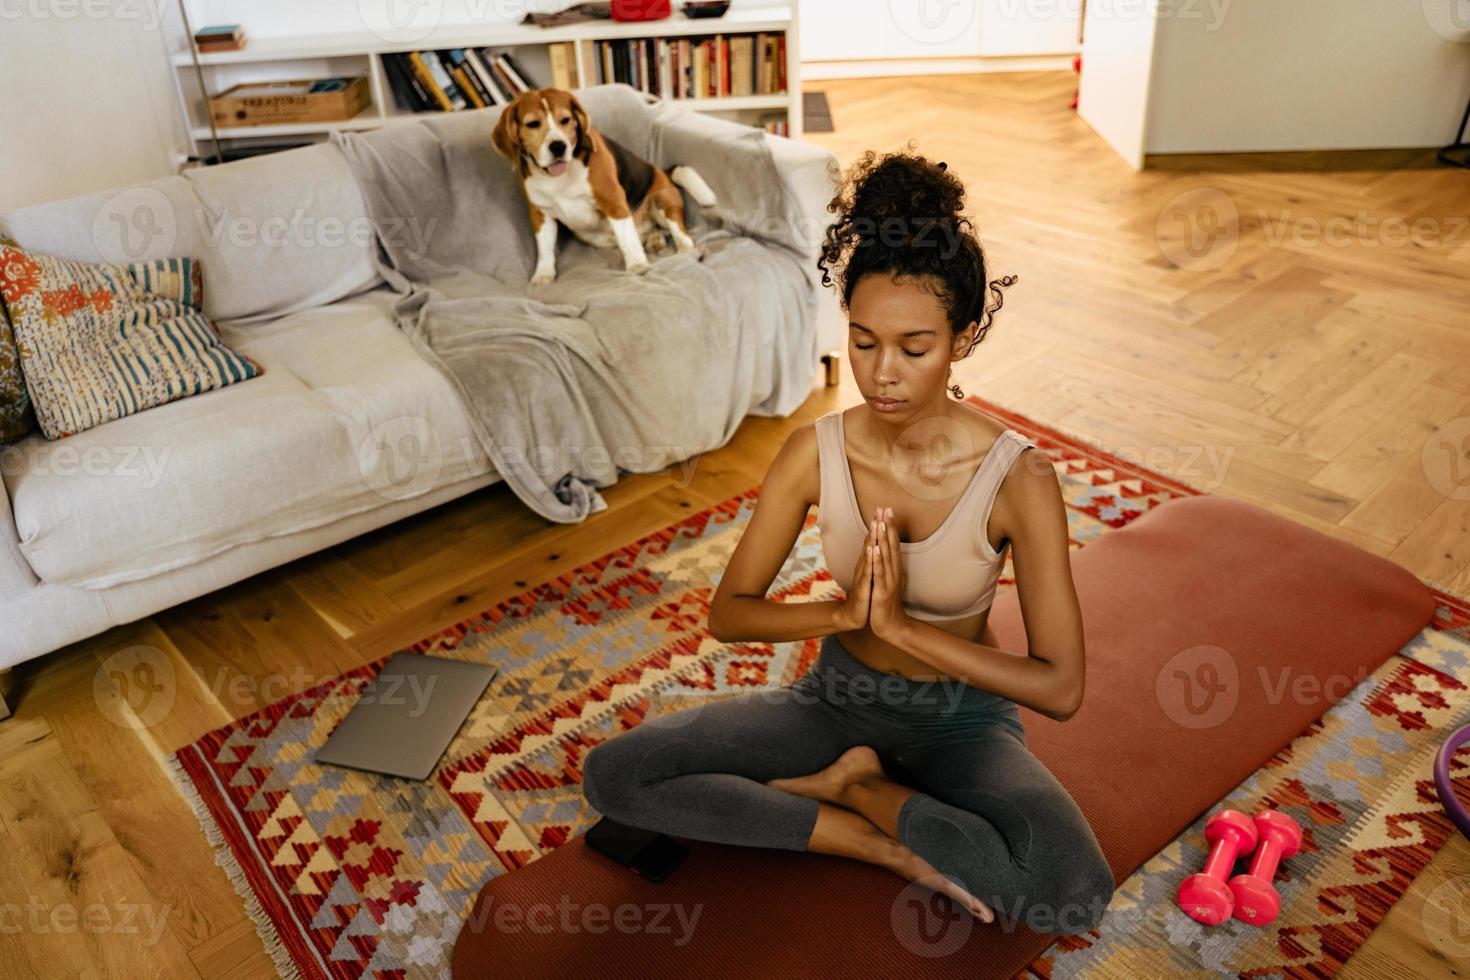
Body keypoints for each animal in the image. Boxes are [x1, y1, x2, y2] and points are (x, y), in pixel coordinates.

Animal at [493, 88, 717, 283]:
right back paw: (655, 240)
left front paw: (637, 264)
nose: (558, 147)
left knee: (679, 232)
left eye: (565, 120)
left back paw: (683, 249)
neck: (557, 178)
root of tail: (660, 169)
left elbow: (627, 238)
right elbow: (545, 248)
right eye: (533, 124)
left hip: (663, 200)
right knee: (649, 230)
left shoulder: (613, 201)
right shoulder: (540, 214)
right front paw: (543, 275)